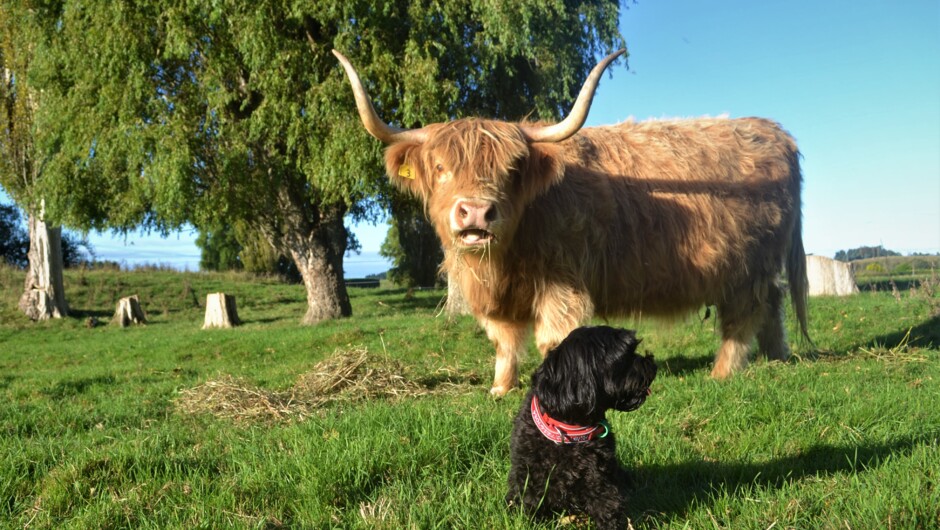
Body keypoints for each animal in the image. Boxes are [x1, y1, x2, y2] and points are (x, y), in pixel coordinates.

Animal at [334, 49, 812, 394]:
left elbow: (553, 338)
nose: (476, 212)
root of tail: (776, 132)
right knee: (773, 305)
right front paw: (499, 389)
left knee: (744, 316)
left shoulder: (560, 282)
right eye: (439, 167)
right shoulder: (501, 300)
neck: (501, 263)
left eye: (512, 169)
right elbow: (504, 343)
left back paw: (724, 372)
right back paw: (778, 357)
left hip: (747, 268)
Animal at [506, 324, 652, 524]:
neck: (569, 430)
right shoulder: (527, 477)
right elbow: (527, 502)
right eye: (624, 357)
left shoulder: (599, 477)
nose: (651, 362)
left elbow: (608, 507)